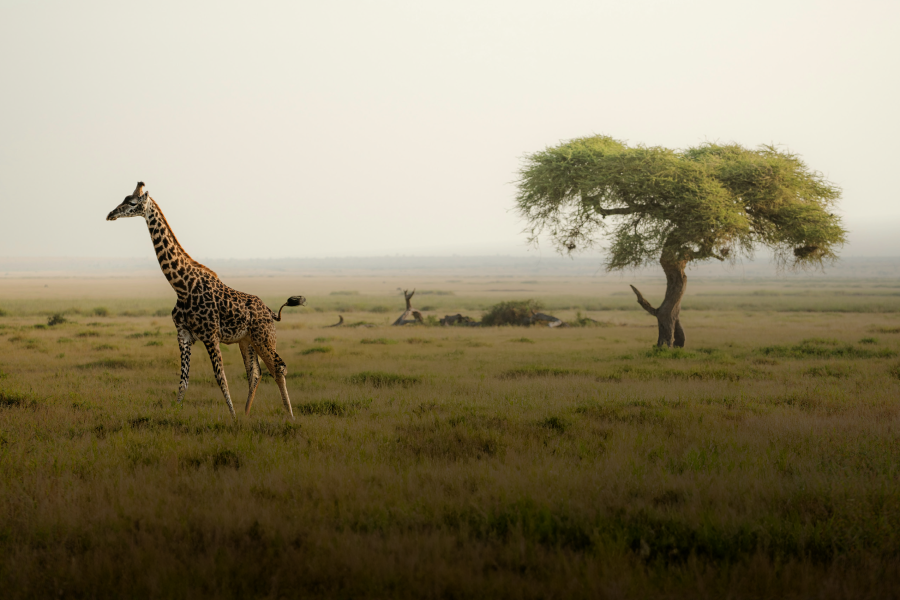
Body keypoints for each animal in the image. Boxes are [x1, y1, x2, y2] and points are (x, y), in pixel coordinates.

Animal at [106, 182, 305, 419]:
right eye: (124, 198)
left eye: (133, 202)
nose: (110, 214)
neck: (182, 286)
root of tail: (270, 312)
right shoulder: (183, 334)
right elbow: (183, 381)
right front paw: (176, 414)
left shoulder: (211, 336)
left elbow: (221, 378)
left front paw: (233, 419)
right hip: (246, 340)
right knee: (255, 372)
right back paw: (247, 414)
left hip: (264, 337)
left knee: (278, 367)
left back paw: (289, 416)